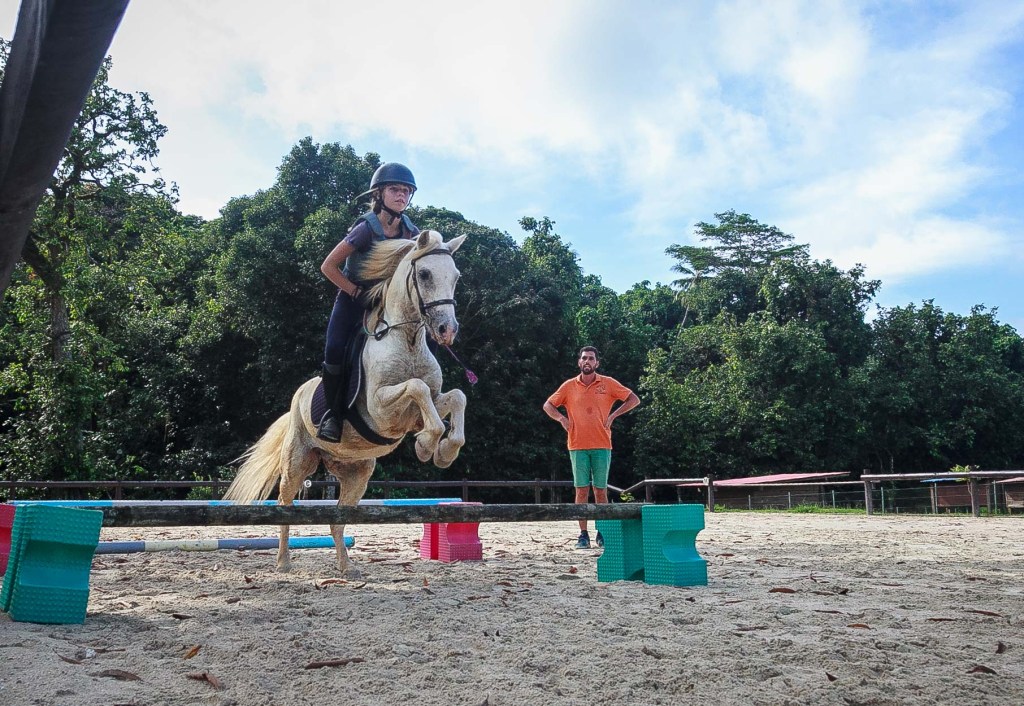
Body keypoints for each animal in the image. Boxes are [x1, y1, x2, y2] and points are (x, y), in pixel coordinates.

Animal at [222, 230, 468, 576]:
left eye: (456, 277)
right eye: (424, 274)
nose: (448, 330)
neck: (406, 341)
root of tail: (298, 396)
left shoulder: (424, 408)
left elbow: (456, 397)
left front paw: (444, 450)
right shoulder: (381, 410)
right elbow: (417, 387)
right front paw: (425, 445)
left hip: (357, 473)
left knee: (337, 520)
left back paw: (346, 566)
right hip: (297, 463)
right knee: (285, 507)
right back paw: (283, 562)